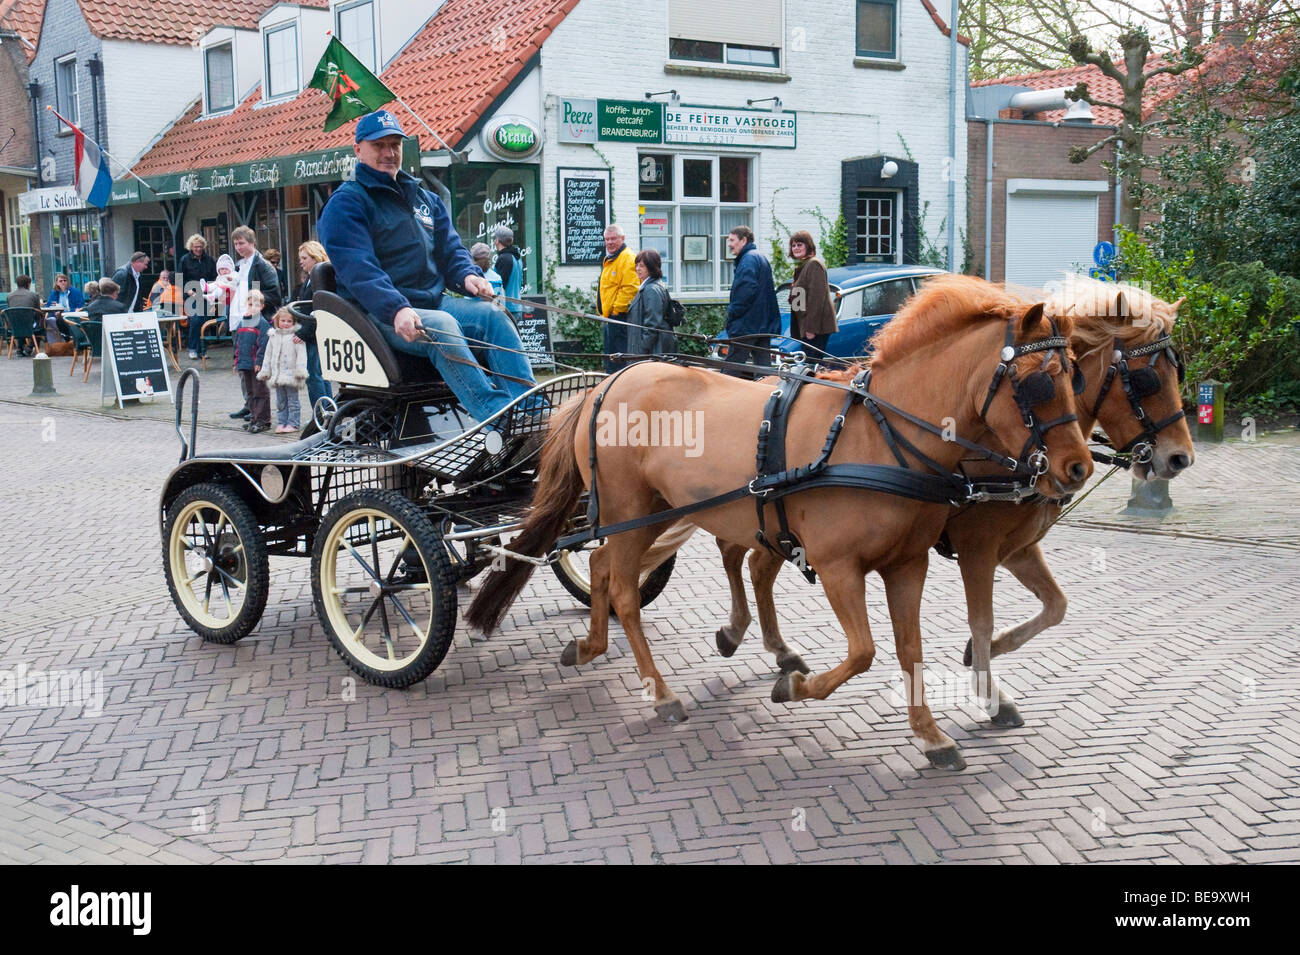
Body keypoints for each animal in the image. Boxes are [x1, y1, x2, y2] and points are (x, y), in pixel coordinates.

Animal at [467, 276, 1097, 769]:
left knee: (602, 565)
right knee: (622, 585)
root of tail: (604, 385)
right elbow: (864, 652)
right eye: (1039, 380)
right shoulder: (840, 566)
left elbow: (909, 648)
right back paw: (661, 692)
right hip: (632, 510)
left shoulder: (906, 565)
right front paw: (793, 687)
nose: (1078, 467)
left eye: (1075, 375)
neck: (882, 436)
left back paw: (591, 646)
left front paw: (931, 735)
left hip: (640, 516)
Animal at [644, 276, 1190, 722]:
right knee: (736, 555)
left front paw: (985, 658)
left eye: (1177, 370)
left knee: (753, 562)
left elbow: (1056, 606)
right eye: (1146, 377)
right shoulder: (977, 548)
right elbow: (983, 617)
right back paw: (745, 639)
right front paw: (989, 691)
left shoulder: (1015, 548)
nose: (1180, 457)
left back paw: (768, 646)